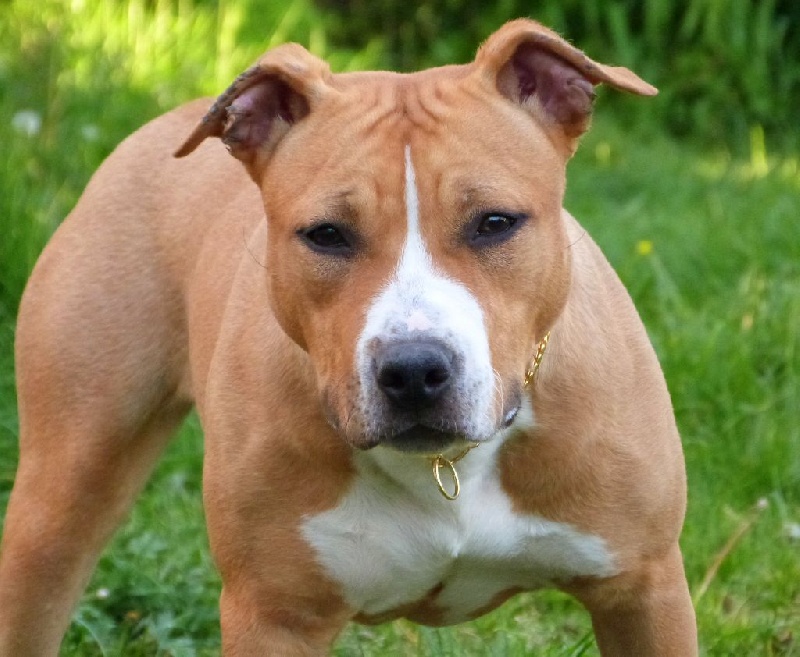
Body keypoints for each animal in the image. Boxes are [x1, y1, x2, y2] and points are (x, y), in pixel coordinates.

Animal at [0, 19, 697, 655]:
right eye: (327, 234)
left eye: (495, 223)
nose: (414, 371)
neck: (446, 467)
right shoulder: (273, 617)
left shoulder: (644, 591)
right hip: (62, 497)